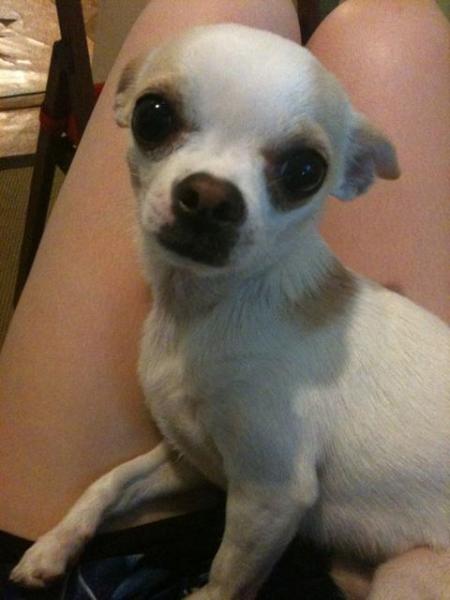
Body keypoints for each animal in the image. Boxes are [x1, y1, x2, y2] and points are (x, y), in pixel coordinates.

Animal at [11, 24, 450, 599]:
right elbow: (111, 481)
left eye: (306, 170)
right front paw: (54, 546)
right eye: (153, 115)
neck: (202, 310)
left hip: (407, 577)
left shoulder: (269, 494)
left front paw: (202, 590)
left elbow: (226, 576)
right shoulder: (190, 458)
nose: (210, 197)